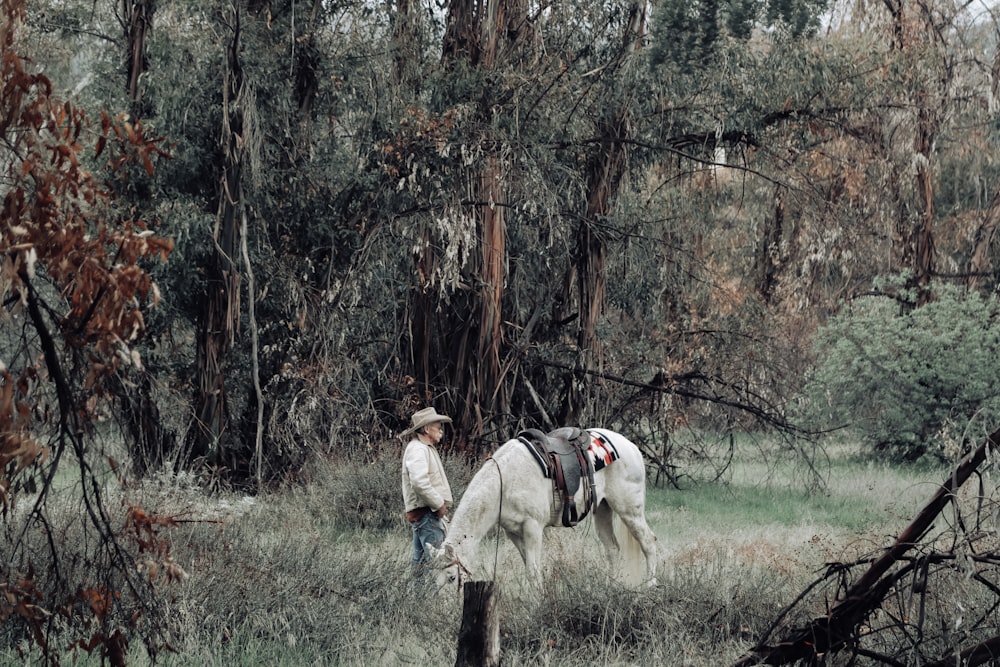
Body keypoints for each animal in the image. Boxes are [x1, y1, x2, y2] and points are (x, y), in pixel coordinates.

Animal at [436, 428, 656, 588]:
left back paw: (650, 586)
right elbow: (529, 566)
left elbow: (533, 571)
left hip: (629, 510)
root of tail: (632, 448)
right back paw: (612, 587)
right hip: (603, 508)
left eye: (452, 577)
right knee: (612, 549)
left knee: (648, 542)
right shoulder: (514, 532)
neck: (505, 482)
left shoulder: (533, 527)